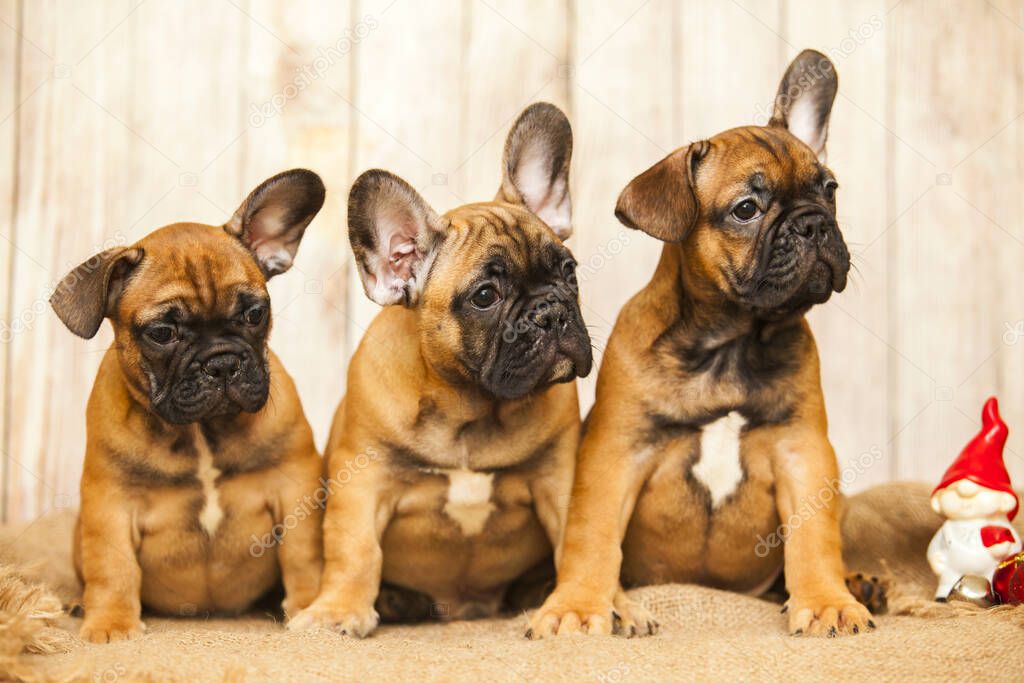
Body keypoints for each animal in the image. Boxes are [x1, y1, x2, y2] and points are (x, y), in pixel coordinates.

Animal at [49, 167, 325, 643]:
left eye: (255, 314)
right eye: (162, 332)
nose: (222, 362)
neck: (201, 431)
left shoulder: (295, 487)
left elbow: (302, 553)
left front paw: (309, 607)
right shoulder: (109, 505)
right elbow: (112, 564)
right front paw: (111, 624)